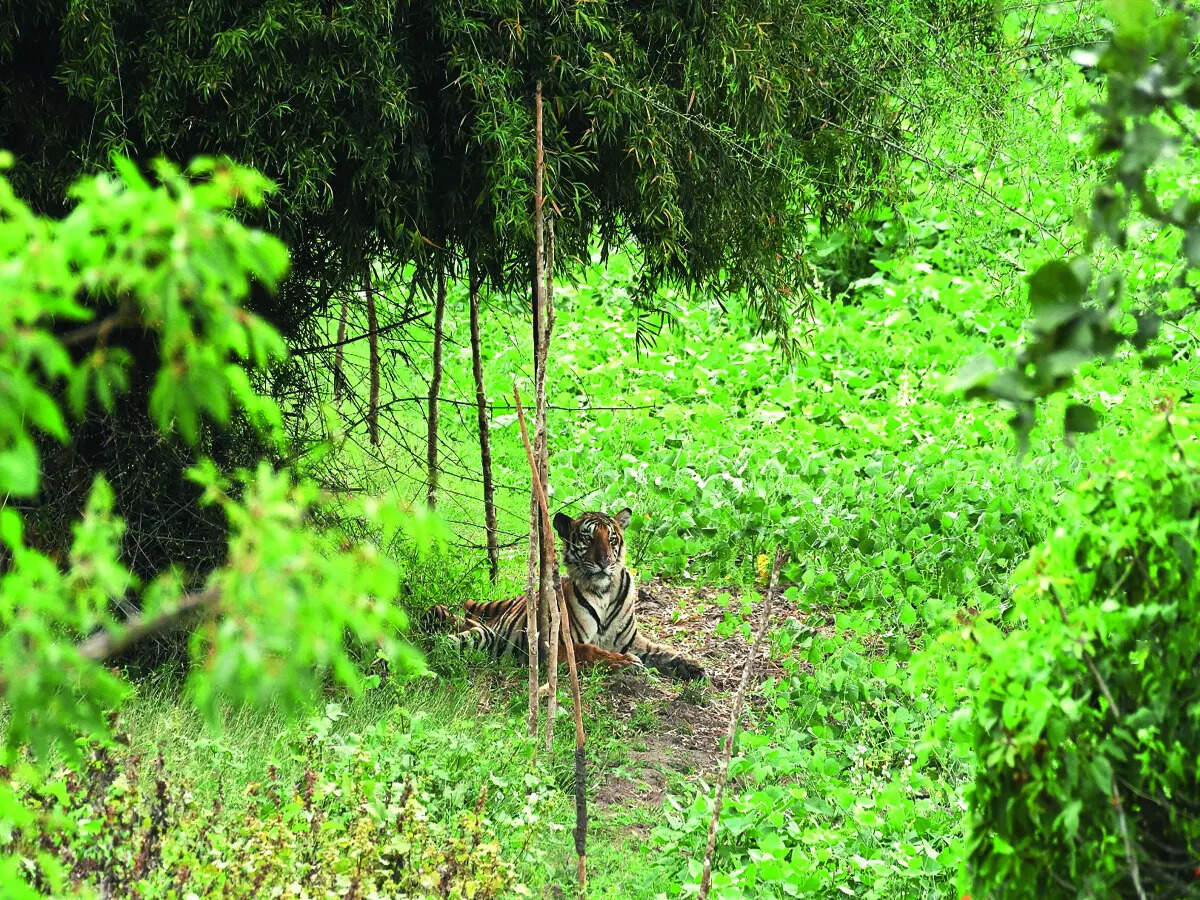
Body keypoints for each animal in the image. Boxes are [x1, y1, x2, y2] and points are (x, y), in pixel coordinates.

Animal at [424, 507, 705, 680]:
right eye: (588, 539)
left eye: (612, 539)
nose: (604, 562)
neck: (604, 593)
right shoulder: (553, 645)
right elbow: (589, 651)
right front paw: (625, 663)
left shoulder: (632, 641)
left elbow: (663, 651)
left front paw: (693, 666)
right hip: (480, 624)